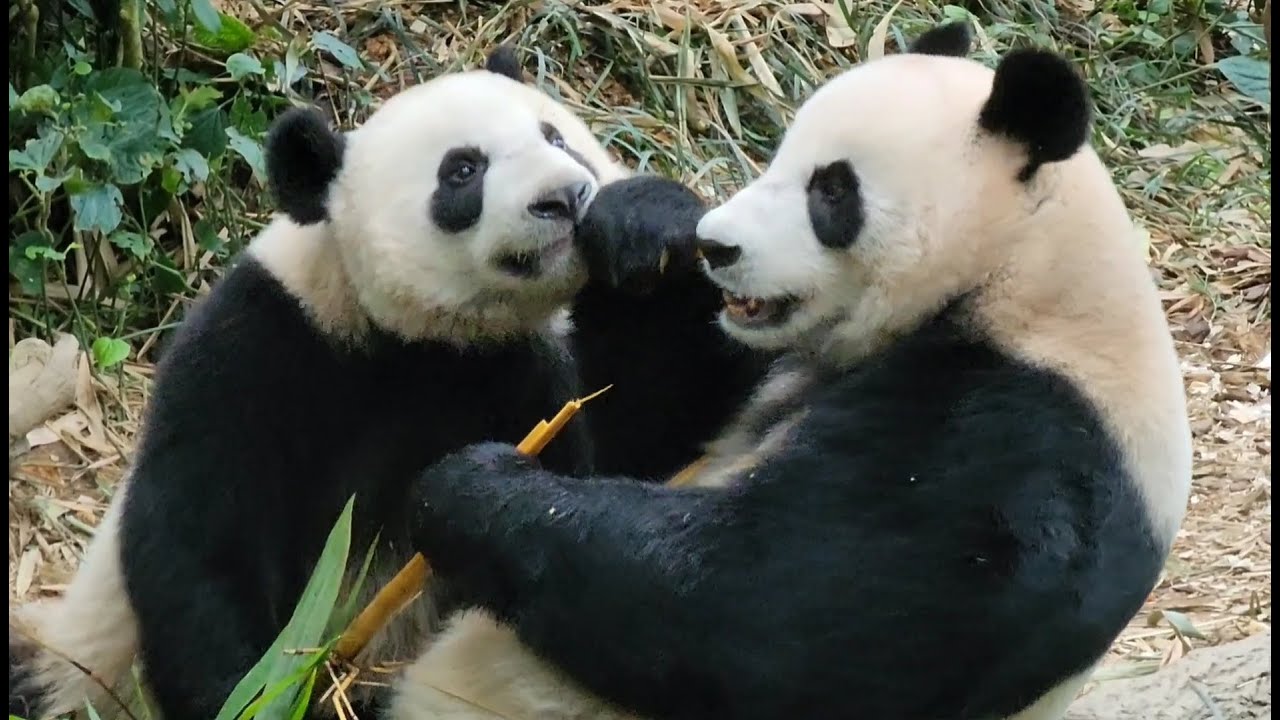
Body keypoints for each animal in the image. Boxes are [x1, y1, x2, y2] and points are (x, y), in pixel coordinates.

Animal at [8, 46, 752, 720]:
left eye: (555, 135)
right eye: (462, 170)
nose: (566, 198)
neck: (428, 344)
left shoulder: (531, 371)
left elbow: (648, 454)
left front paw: (642, 224)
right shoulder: (263, 346)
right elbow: (202, 539)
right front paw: (257, 694)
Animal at [377, 22, 1194, 720]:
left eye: (831, 190)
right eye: (780, 154)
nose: (717, 246)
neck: (1023, 275)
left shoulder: (1025, 441)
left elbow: (769, 616)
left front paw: (469, 487)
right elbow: (640, 437)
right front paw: (640, 225)